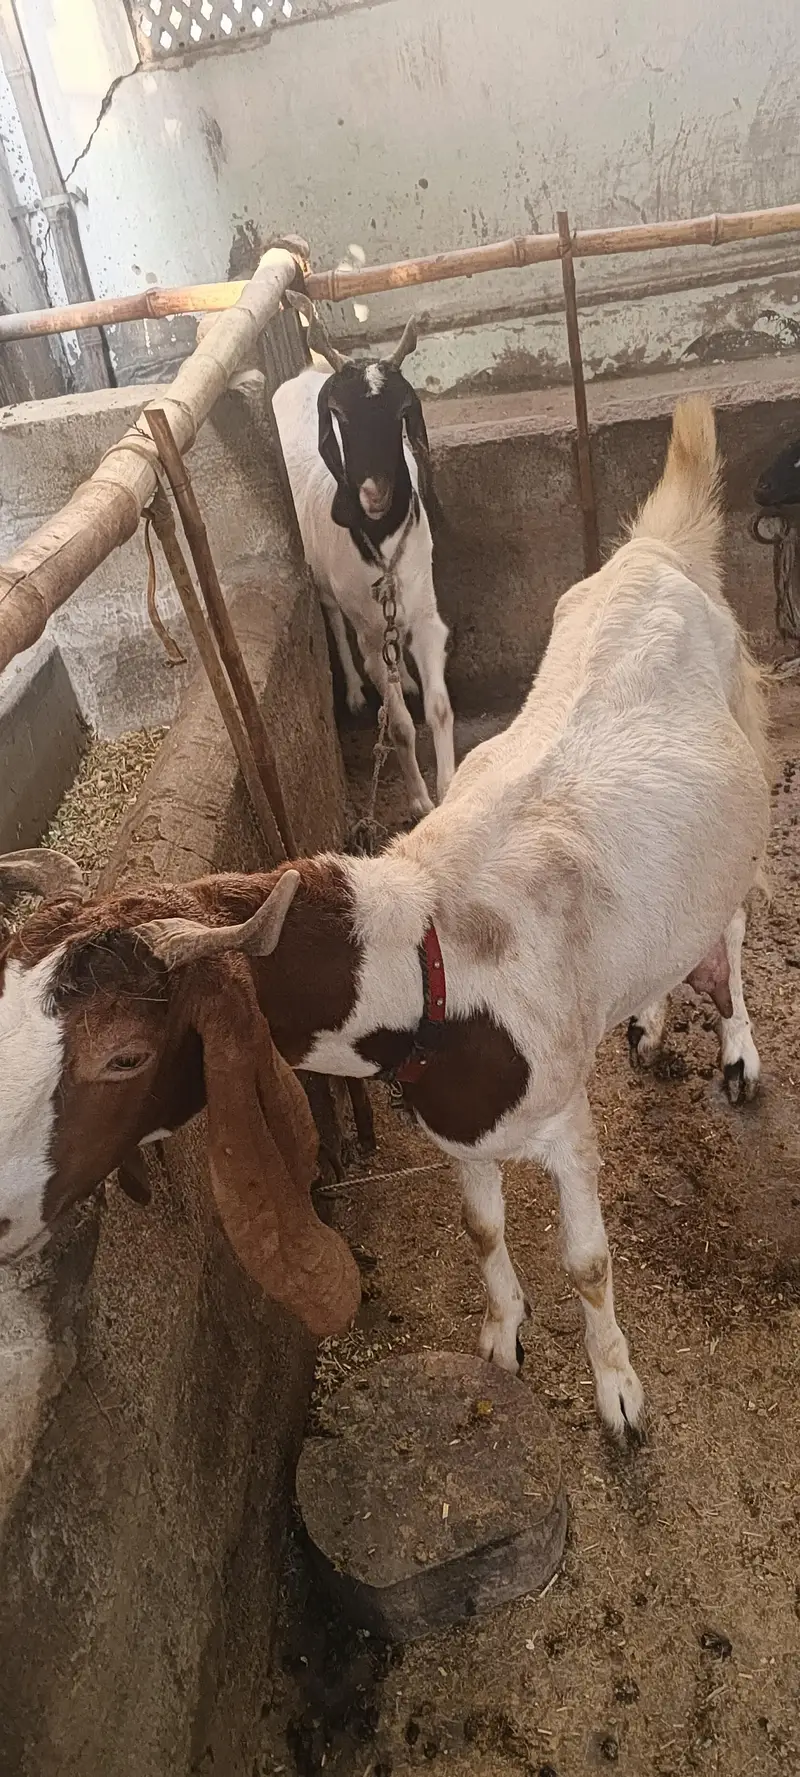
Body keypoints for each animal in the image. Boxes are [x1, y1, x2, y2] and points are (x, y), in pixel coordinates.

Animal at [0, 398, 769, 1442]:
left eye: (124, 1053)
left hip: (740, 795)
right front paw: (501, 1338)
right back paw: (647, 1021)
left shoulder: (565, 1123)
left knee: (726, 930)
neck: (436, 954)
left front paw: (618, 1394)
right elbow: (481, 1226)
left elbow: (588, 1263)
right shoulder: (457, 1131)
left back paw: (737, 1050)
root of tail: (659, 549)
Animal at [272, 296, 454, 820]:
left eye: (402, 411)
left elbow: (438, 708)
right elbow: (399, 726)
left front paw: (451, 786)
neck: (382, 544)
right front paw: (420, 799)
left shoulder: (427, 614)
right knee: (334, 618)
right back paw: (353, 691)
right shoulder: (371, 635)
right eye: (338, 414)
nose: (373, 494)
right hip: (326, 583)